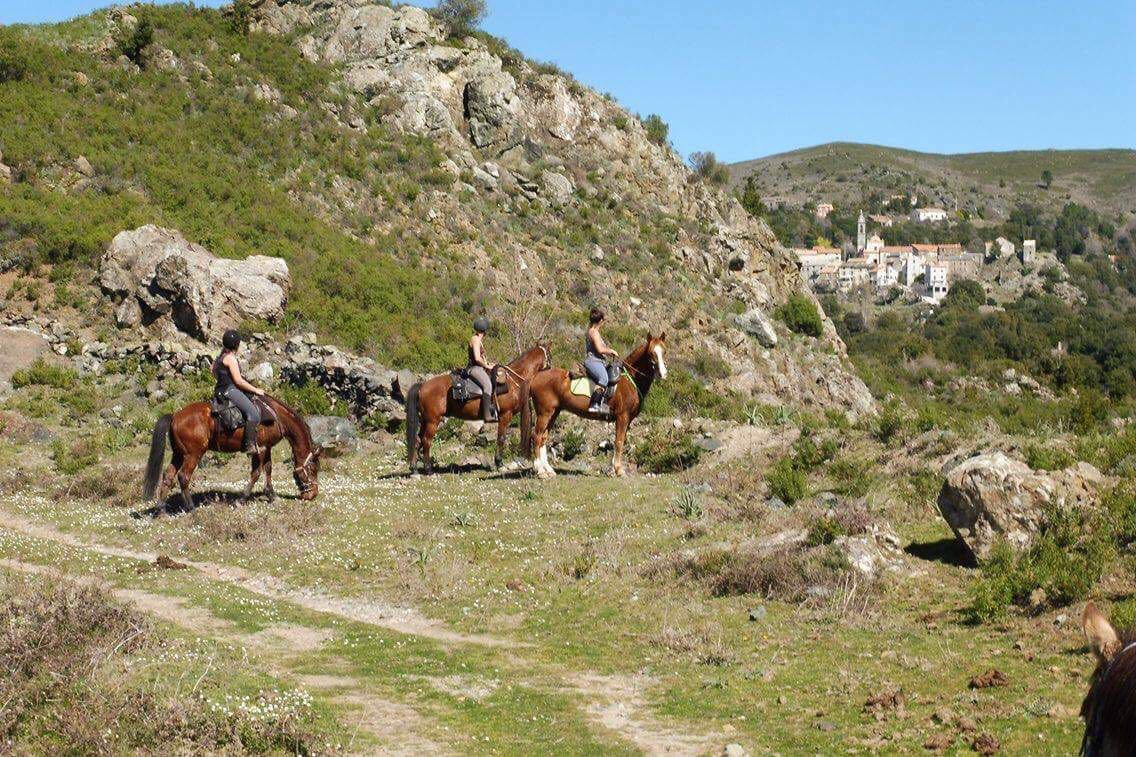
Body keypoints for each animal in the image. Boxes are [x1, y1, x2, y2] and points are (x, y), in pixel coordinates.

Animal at [142, 394, 321, 511]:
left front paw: (271, 495)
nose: (313, 494)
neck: (276, 416)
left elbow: (268, 469)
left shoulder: (266, 448)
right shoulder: (259, 449)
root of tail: (175, 415)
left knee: (168, 475)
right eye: (313, 469)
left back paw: (161, 509)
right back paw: (191, 507)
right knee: (183, 476)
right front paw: (241, 500)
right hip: (193, 455)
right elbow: (256, 473)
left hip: (179, 454)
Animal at [404, 345, 551, 474]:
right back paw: (428, 469)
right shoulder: (505, 415)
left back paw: (414, 468)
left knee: (417, 440)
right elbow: (501, 438)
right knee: (426, 441)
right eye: (549, 355)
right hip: (432, 421)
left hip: (425, 420)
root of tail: (423, 386)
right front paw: (499, 463)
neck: (514, 381)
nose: (551, 368)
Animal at [522, 333, 666, 479]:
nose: (663, 374)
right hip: (544, 413)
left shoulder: (627, 420)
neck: (630, 380)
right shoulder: (622, 417)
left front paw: (612, 469)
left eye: (664, 351)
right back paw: (540, 471)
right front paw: (619, 470)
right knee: (536, 436)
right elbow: (619, 442)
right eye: (651, 353)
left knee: (543, 437)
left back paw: (548, 470)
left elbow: (619, 441)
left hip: (553, 413)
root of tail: (536, 376)